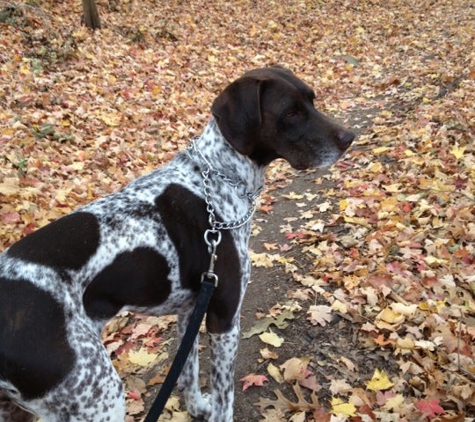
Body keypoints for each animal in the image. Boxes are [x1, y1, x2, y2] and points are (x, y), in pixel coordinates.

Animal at [0, 65, 354, 418]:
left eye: (311, 100)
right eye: (290, 113)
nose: (349, 138)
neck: (217, 178)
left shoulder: (190, 313)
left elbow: (188, 373)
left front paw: (197, 408)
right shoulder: (223, 320)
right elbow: (224, 398)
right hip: (100, 398)